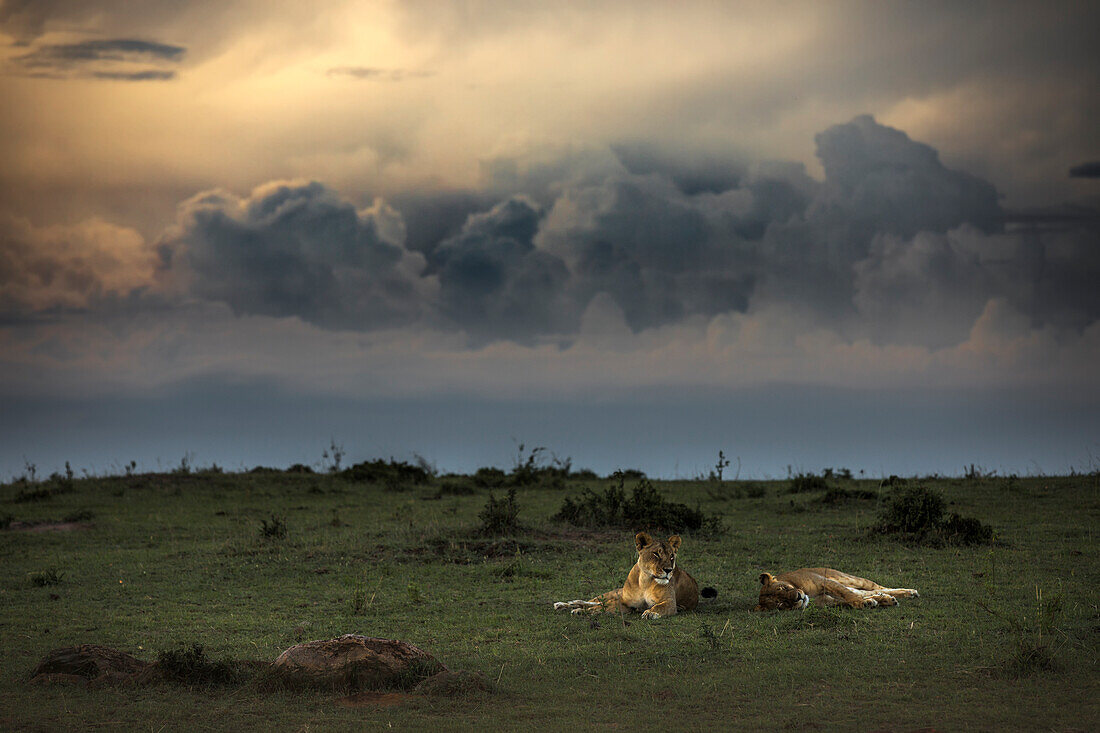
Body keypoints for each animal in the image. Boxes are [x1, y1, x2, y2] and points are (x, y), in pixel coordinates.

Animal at [554, 530, 717, 616]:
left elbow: (659, 607)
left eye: (672, 556)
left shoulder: (671, 603)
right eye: (656, 554)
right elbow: (602, 606)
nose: (668, 570)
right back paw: (565, 604)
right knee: (595, 600)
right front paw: (580, 610)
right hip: (613, 593)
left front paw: (651, 612)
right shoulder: (625, 602)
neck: (645, 580)